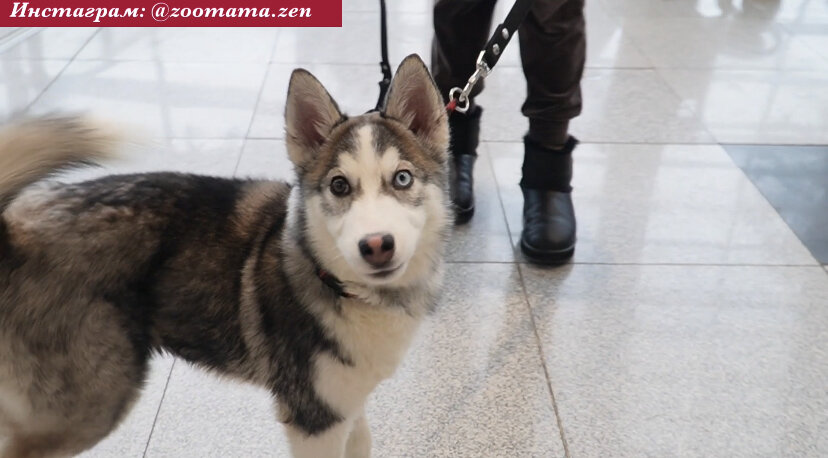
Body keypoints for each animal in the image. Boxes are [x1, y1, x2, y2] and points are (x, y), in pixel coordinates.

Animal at [0, 54, 452, 458]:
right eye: (339, 186)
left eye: (402, 178)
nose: (377, 245)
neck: (340, 286)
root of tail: (12, 234)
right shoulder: (313, 421)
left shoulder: (346, 408)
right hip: (89, 403)